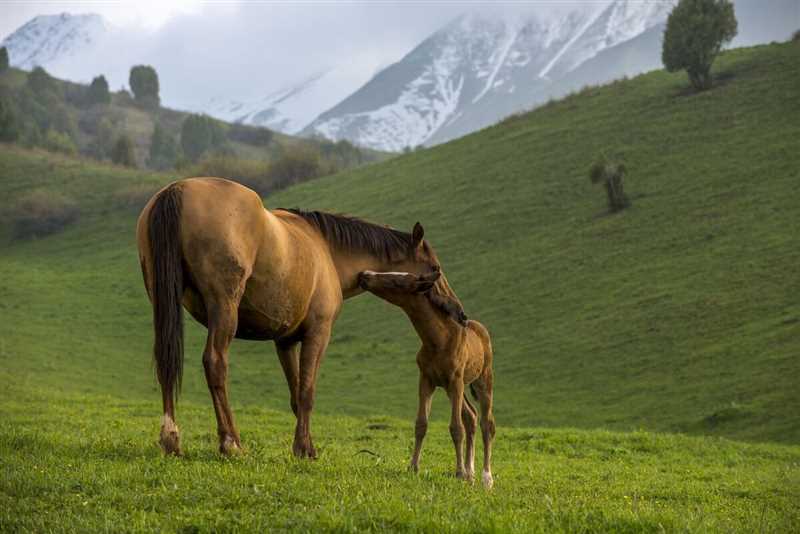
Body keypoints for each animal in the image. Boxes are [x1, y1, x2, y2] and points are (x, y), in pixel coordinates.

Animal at [134, 179, 454, 460]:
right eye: (434, 268)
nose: (455, 310)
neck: (326, 249)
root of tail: (178, 189)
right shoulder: (318, 334)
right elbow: (307, 392)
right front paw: (303, 449)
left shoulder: (285, 341)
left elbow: (295, 394)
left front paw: (305, 444)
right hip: (224, 309)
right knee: (215, 363)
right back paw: (231, 443)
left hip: (163, 304)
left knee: (166, 360)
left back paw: (171, 440)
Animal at [358, 272, 494, 490]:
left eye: (397, 281)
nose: (364, 275)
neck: (438, 340)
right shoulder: (427, 380)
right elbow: (421, 424)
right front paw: (413, 467)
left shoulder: (455, 381)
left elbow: (456, 428)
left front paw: (458, 473)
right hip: (452, 388)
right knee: (471, 416)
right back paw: (470, 474)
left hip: (482, 380)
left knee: (486, 423)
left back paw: (485, 478)